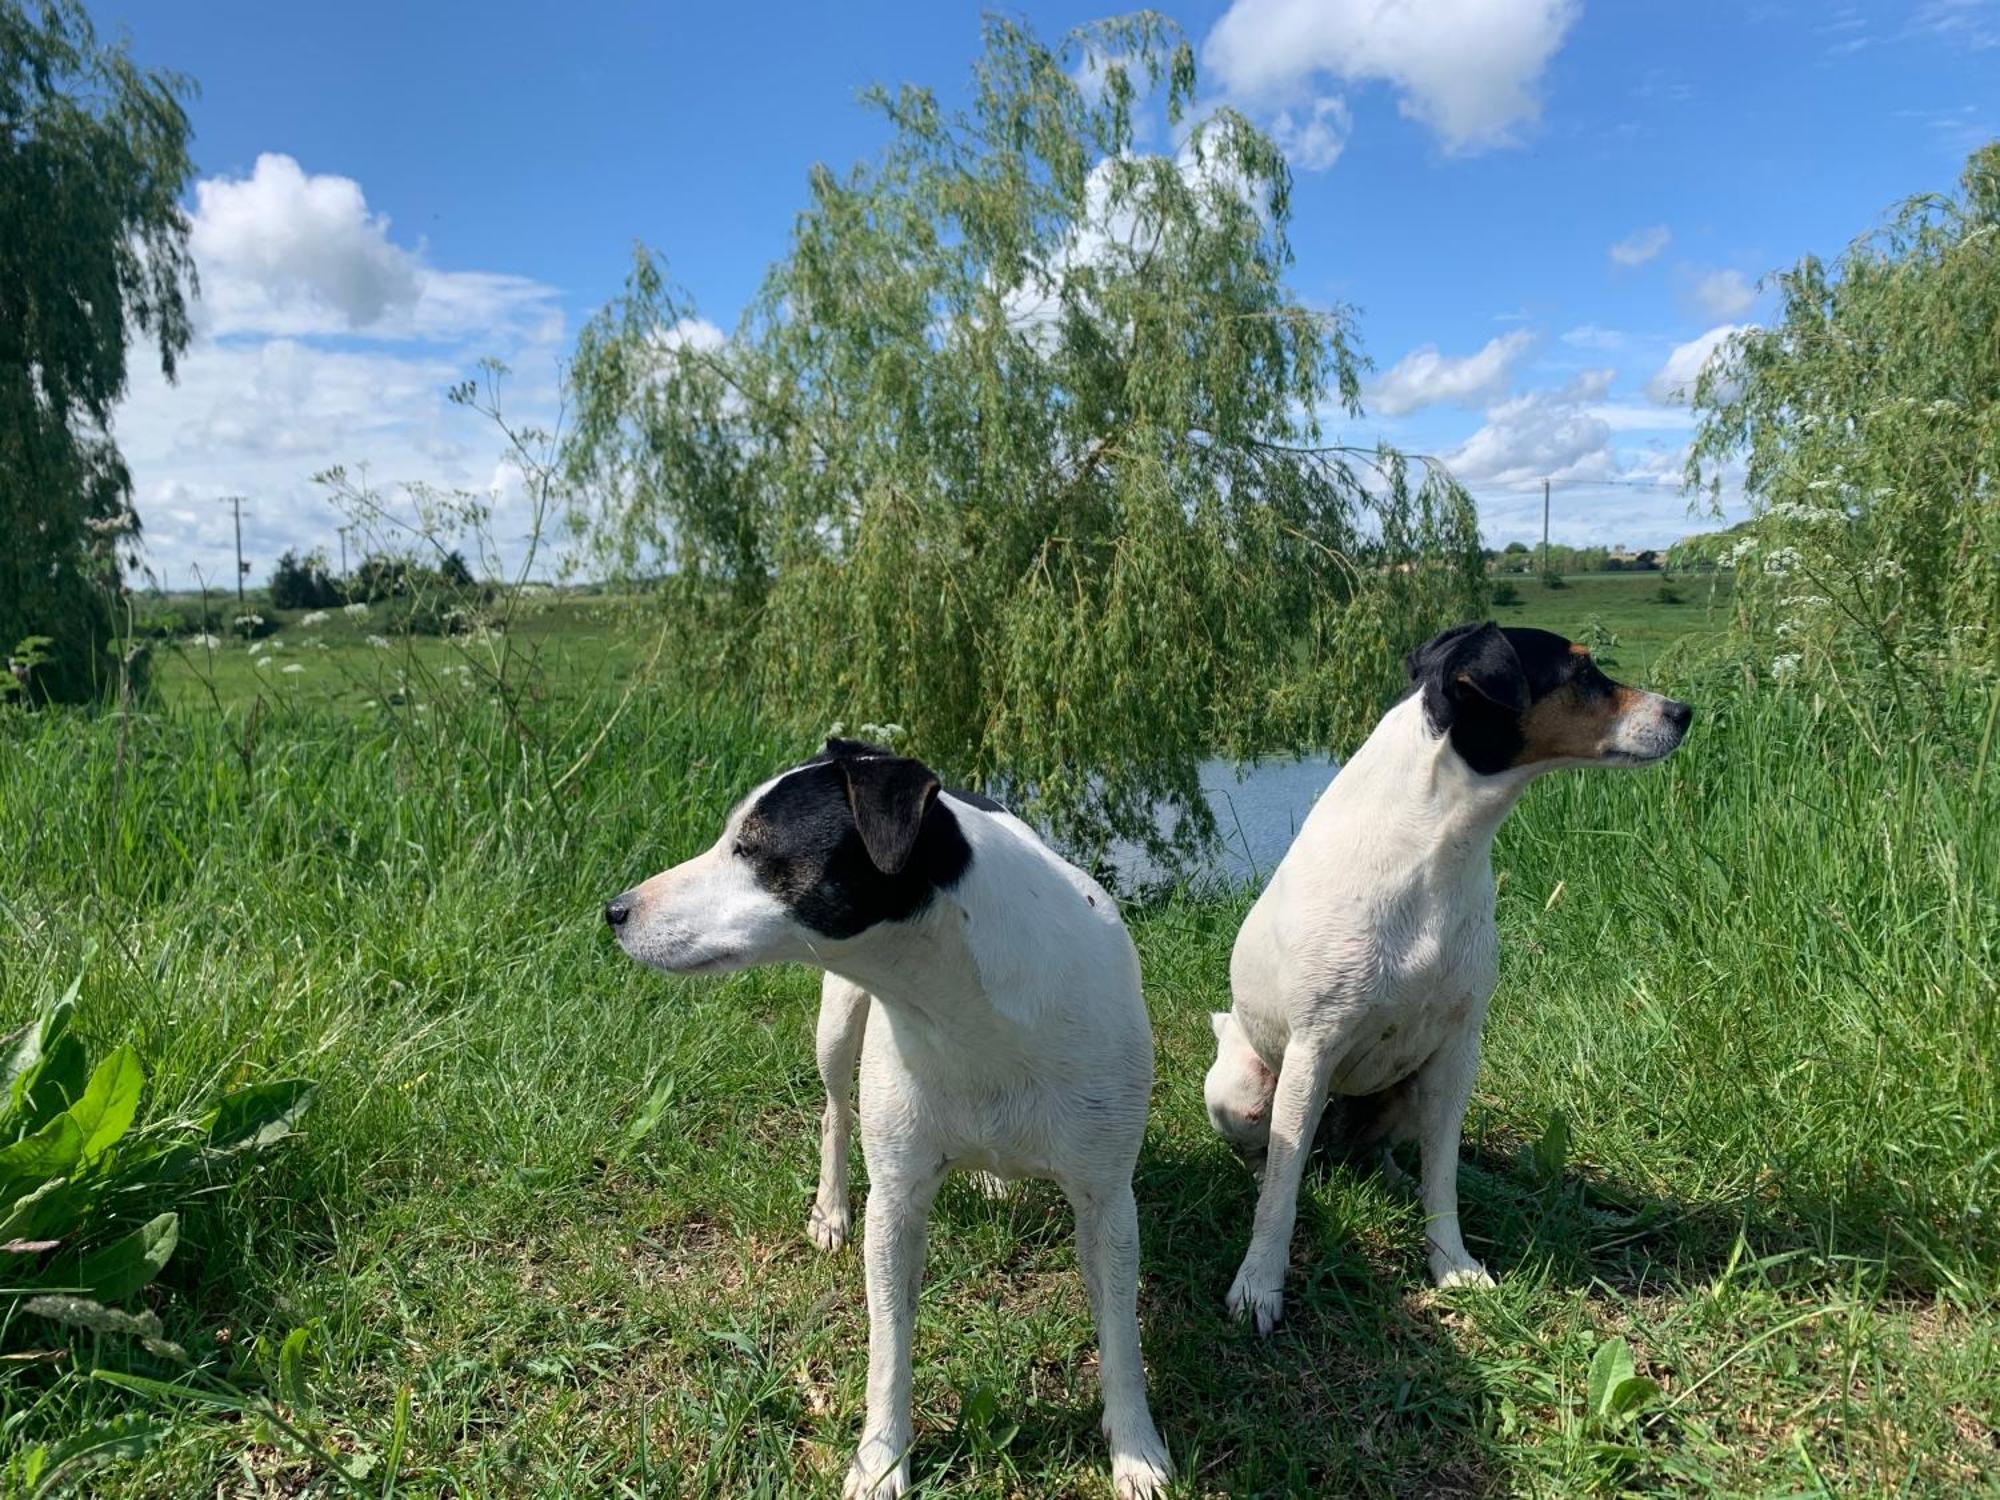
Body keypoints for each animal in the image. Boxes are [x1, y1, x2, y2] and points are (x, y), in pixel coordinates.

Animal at [608, 744, 1168, 1500]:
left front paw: (1136, 1450)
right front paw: (880, 1460)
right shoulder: (897, 1203)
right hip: (837, 1026)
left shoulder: (1107, 1199)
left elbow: (1120, 1335)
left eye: (751, 848)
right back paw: (830, 1209)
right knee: (834, 1115)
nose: (615, 910)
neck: (961, 1005)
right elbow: (889, 1344)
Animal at [1200, 628, 1688, 1336]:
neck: (1431, 853)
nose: (1684, 713)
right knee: (1275, 1158)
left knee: (1385, 1153)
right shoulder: (1312, 1051)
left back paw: (1391, 1178)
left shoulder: (1457, 1054)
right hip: (1243, 1088)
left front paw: (1451, 1265)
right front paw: (1259, 1285)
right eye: (1580, 670)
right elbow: (1280, 1203)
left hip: (1408, 1097)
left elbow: (1445, 1181)